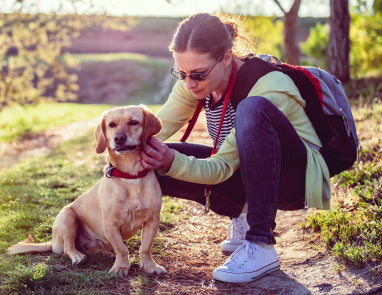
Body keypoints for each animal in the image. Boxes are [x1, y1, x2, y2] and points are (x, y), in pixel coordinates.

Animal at [5, 104, 164, 278]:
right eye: (111, 125)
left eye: (134, 122)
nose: (119, 138)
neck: (130, 176)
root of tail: (53, 242)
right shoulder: (111, 224)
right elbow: (122, 249)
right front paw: (121, 267)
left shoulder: (152, 221)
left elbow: (145, 248)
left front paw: (150, 266)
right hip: (68, 217)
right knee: (68, 248)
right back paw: (78, 256)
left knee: (93, 248)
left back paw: (103, 253)